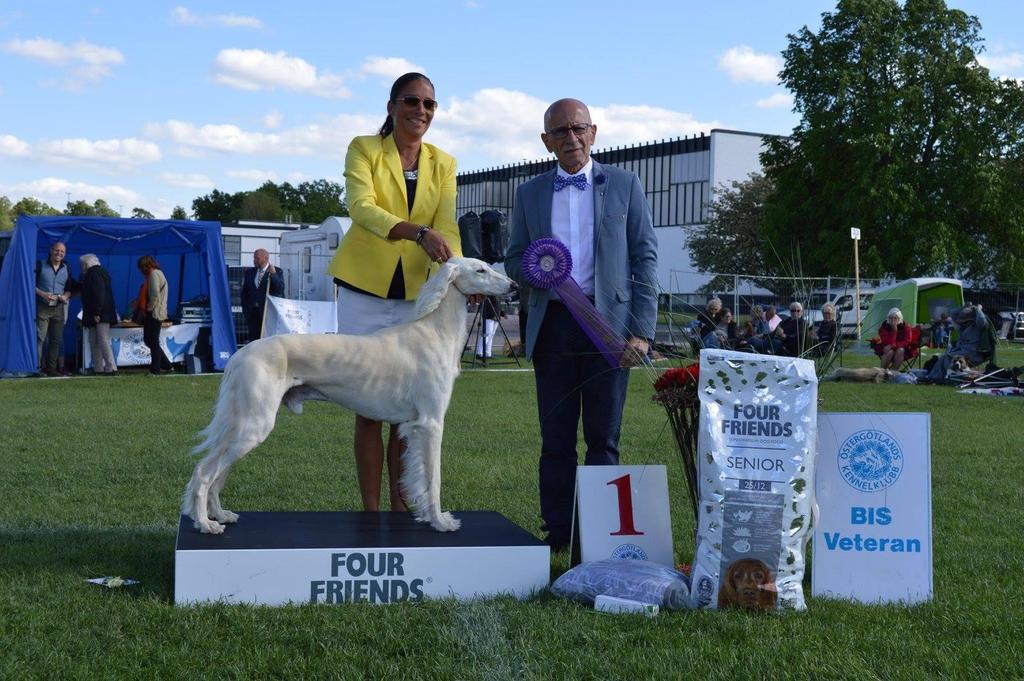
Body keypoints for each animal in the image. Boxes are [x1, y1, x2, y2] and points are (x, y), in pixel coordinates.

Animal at [182, 258, 512, 532]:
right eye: (480, 270)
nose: (514, 286)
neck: (434, 332)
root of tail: (240, 354)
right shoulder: (431, 423)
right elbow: (434, 479)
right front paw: (441, 521)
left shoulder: (412, 427)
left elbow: (416, 477)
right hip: (254, 424)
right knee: (203, 472)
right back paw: (205, 523)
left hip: (243, 423)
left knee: (214, 472)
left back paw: (218, 514)